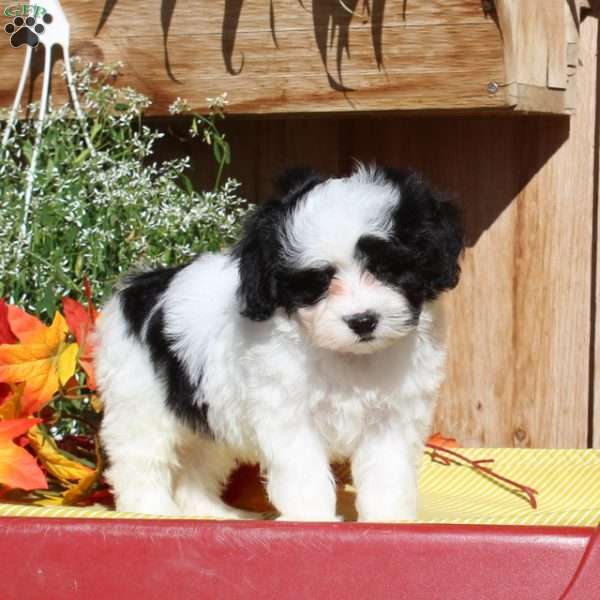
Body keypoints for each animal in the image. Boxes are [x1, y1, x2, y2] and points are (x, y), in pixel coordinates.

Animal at [97, 163, 464, 520]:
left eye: (388, 269)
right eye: (317, 282)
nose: (362, 320)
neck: (347, 355)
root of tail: (136, 288)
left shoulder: (392, 419)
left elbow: (388, 475)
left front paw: (389, 520)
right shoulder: (288, 414)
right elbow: (305, 474)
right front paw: (312, 519)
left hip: (210, 413)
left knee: (198, 465)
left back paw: (213, 512)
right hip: (141, 399)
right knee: (139, 457)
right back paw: (150, 510)